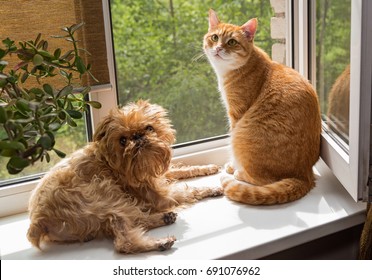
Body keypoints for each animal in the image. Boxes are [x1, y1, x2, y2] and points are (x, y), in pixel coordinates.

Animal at [28, 100, 221, 254]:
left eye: (149, 128)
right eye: (122, 140)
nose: (138, 136)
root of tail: (38, 220)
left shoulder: (157, 175)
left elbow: (183, 169)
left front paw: (209, 168)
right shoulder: (161, 196)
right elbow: (190, 190)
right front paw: (212, 188)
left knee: (134, 220)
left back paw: (164, 218)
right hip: (104, 194)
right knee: (124, 240)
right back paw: (161, 241)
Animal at [202, 9, 322, 205]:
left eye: (232, 42)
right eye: (214, 37)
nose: (218, 48)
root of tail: (304, 175)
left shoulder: (235, 114)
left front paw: (232, 165)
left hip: (241, 134)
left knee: (261, 179)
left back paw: (239, 172)